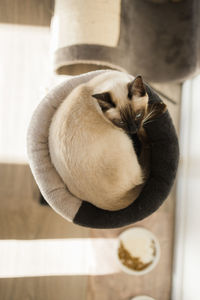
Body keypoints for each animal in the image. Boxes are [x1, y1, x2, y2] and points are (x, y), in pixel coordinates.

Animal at [48, 71, 166, 211]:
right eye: (120, 122)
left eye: (138, 115)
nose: (133, 130)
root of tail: (113, 201)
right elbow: (146, 118)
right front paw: (161, 107)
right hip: (126, 142)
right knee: (145, 156)